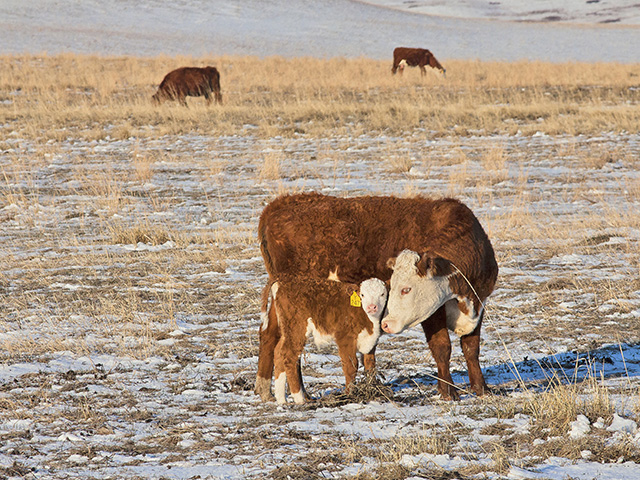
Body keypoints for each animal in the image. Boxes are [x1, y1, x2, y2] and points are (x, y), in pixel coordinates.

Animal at [256, 276, 388, 404]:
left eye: (382, 294)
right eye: (362, 295)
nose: (372, 307)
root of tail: (280, 281)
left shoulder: (371, 342)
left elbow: (370, 365)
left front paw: (372, 389)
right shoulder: (344, 338)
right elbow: (351, 366)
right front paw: (350, 395)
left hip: (286, 330)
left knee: (278, 352)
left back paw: (281, 400)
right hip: (297, 328)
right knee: (289, 355)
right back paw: (299, 399)